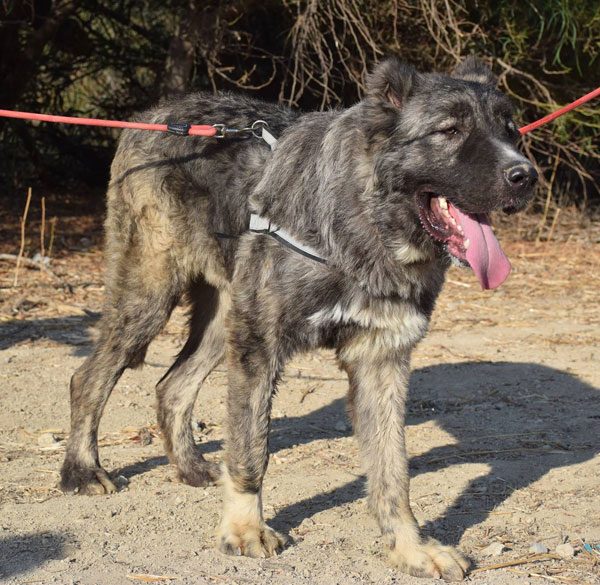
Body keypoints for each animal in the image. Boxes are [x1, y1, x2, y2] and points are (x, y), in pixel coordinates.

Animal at [61, 56, 540, 580]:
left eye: (510, 129)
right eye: (450, 130)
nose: (525, 175)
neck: (361, 221)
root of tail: (157, 114)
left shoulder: (382, 361)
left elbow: (394, 473)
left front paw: (410, 547)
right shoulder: (259, 346)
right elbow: (251, 450)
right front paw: (244, 529)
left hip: (221, 319)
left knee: (171, 385)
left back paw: (188, 467)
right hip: (149, 296)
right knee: (89, 378)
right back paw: (81, 470)